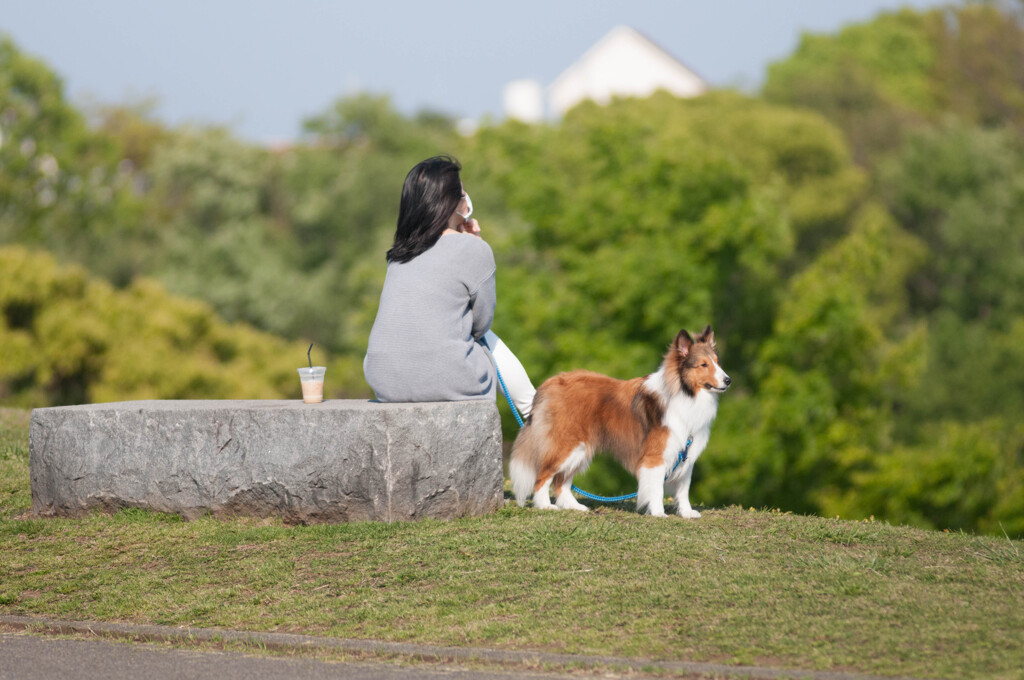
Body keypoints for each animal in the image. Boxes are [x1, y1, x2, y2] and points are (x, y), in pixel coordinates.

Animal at [509, 327, 729, 518]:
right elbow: (657, 487)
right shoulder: (656, 456)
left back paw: (574, 507)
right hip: (566, 445)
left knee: (561, 482)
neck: (684, 393)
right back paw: (545, 505)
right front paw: (658, 513)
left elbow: (683, 489)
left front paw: (686, 513)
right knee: (543, 476)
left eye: (718, 362)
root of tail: (549, 383)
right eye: (704, 365)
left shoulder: (685, 454)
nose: (728, 380)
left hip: (580, 449)